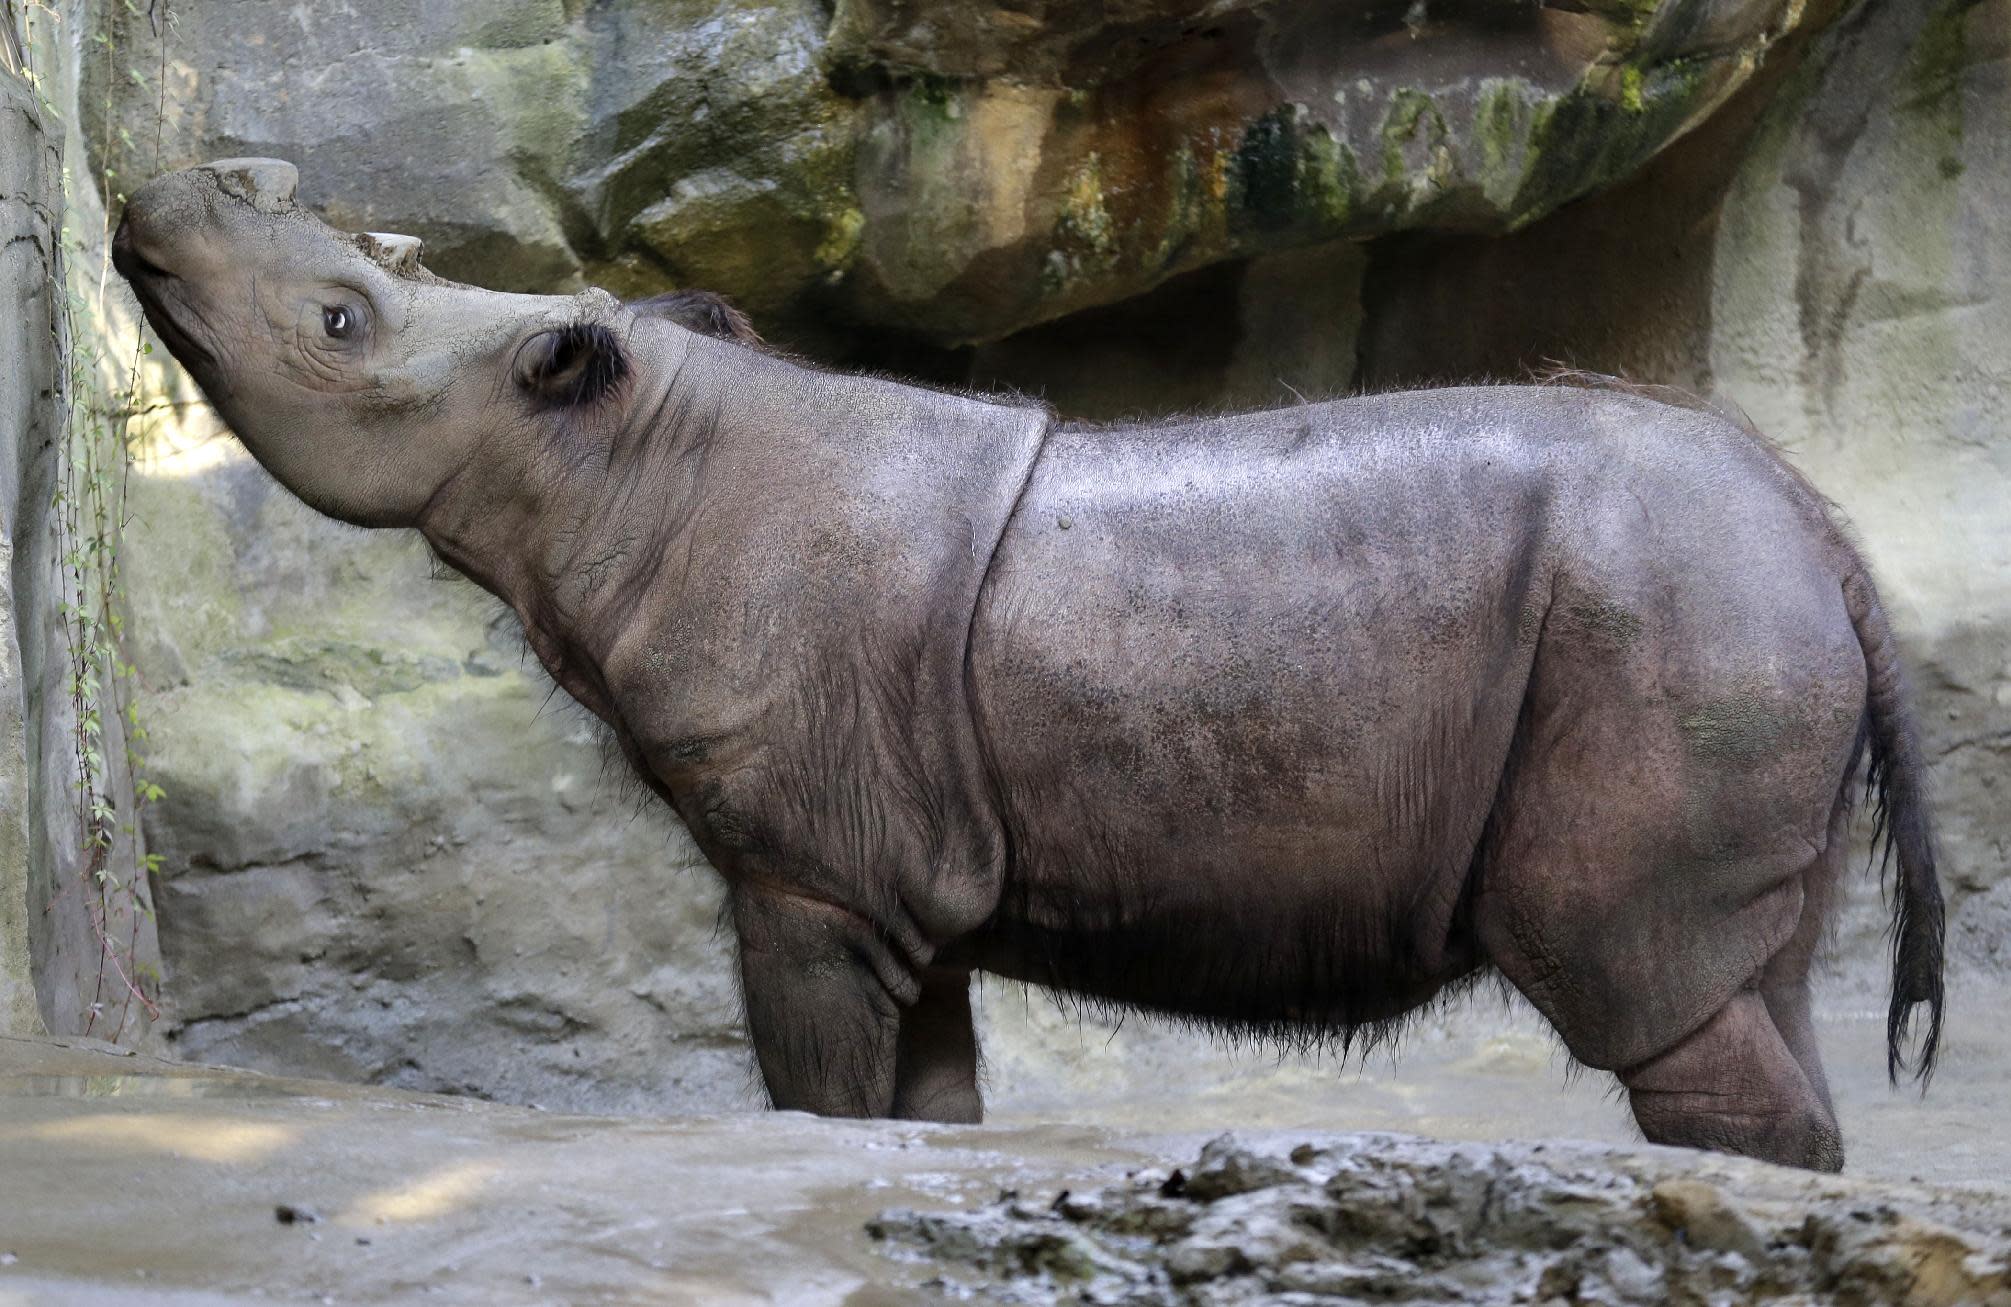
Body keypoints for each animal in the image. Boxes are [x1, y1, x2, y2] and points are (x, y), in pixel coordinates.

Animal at [114, 157, 1946, 1166]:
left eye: (341, 321)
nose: (162, 199)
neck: (612, 455)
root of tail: (1826, 539)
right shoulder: (889, 865)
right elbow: (922, 1114)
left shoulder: (805, 873)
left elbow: (812, 1100)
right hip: (1721, 615)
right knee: (1752, 986)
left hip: (1670, 625)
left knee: (1648, 997)